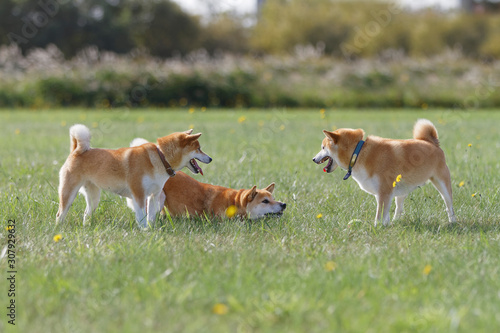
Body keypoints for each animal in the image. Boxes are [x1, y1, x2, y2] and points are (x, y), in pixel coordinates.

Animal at [57, 123, 213, 227]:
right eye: (199, 149)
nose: (210, 159)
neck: (160, 157)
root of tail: (76, 151)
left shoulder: (154, 195)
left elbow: (150, 216)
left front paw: (151, 230)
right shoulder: (139, 194)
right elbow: (142, 216)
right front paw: (144, 231)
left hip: (93, 197)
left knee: (86, 213)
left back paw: (86, 226)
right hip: (68, 193)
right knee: (60, 214)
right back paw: (59, 228)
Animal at [312, 119, 458, 226]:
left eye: (323, 147)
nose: (313, 159)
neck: (358, 153)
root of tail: (432, 143)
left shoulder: (384, 190)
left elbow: (379, 214)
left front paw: (377, 227)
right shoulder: (382, 193)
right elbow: (384, 212)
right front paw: (386, 225)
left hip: (442, 183)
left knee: (449, 205)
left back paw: (452, 222)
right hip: (401, 190)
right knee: (399, 208)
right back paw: (395, 222)